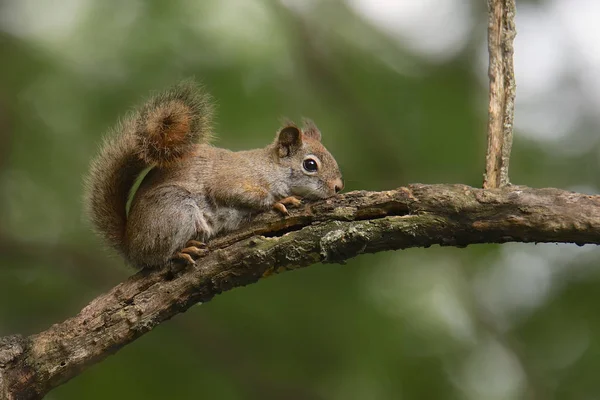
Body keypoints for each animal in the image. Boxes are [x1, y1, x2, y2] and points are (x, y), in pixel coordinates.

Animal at [83, 81, 342, 268]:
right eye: (310, 165)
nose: (338, 187)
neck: (269, 168)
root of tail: (130, 245)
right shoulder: (234, 179)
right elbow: (241, 194)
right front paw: (280, 200)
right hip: (174, 209)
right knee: (158, 258)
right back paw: (181, 251)